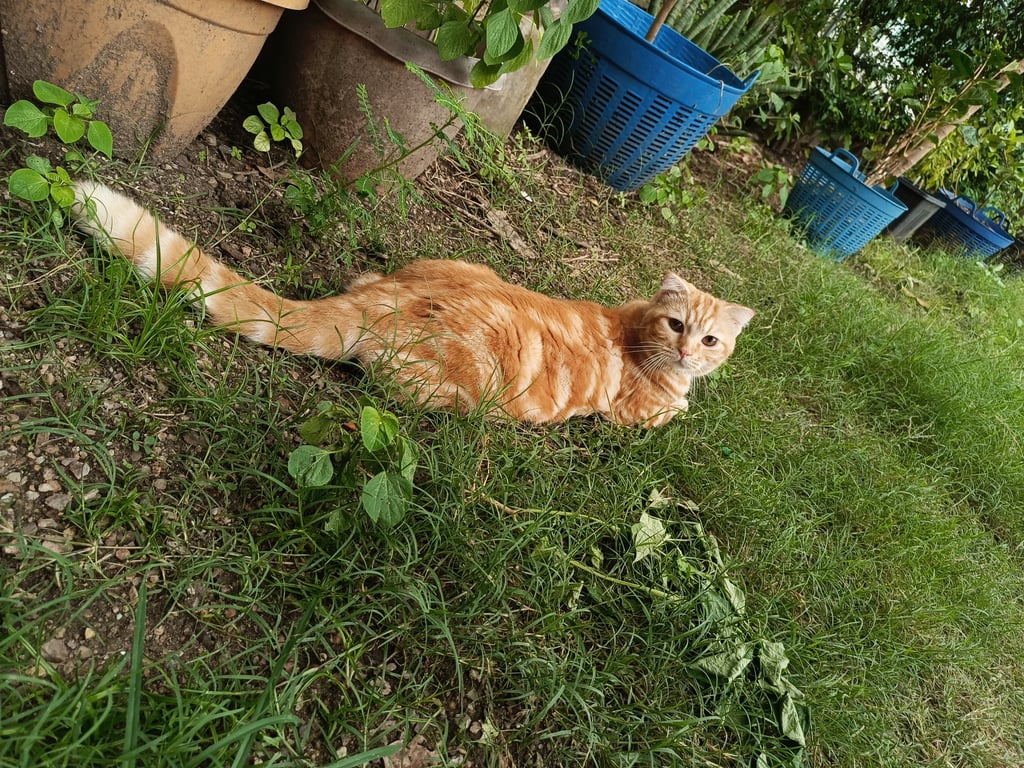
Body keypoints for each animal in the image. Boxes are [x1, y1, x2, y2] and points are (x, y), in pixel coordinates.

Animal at [72, 181, 754, 427]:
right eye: (677, 326)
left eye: (710, 339)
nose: (690, 354)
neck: (635, 326)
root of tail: (388, 296)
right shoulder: (637, 417)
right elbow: (678, 415)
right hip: (464, 393)